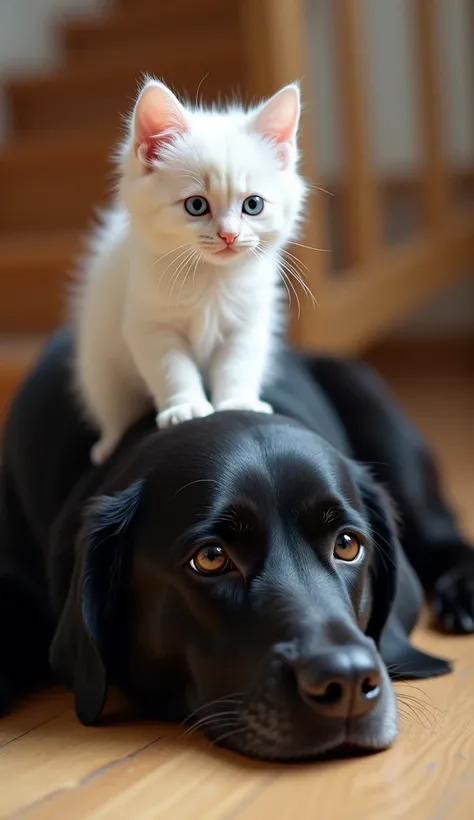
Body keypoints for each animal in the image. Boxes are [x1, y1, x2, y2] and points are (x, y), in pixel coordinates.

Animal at [72, 79, 306, 464]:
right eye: (196, 205)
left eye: (253, 205)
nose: (229, 235)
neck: (210, 280)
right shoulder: (149, 324)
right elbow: (172, 368)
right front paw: (186, 406)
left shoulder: (247, 325)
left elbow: (237, 364)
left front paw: (237, 402)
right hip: (101, 366)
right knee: (114, 409)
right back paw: (107, 445)